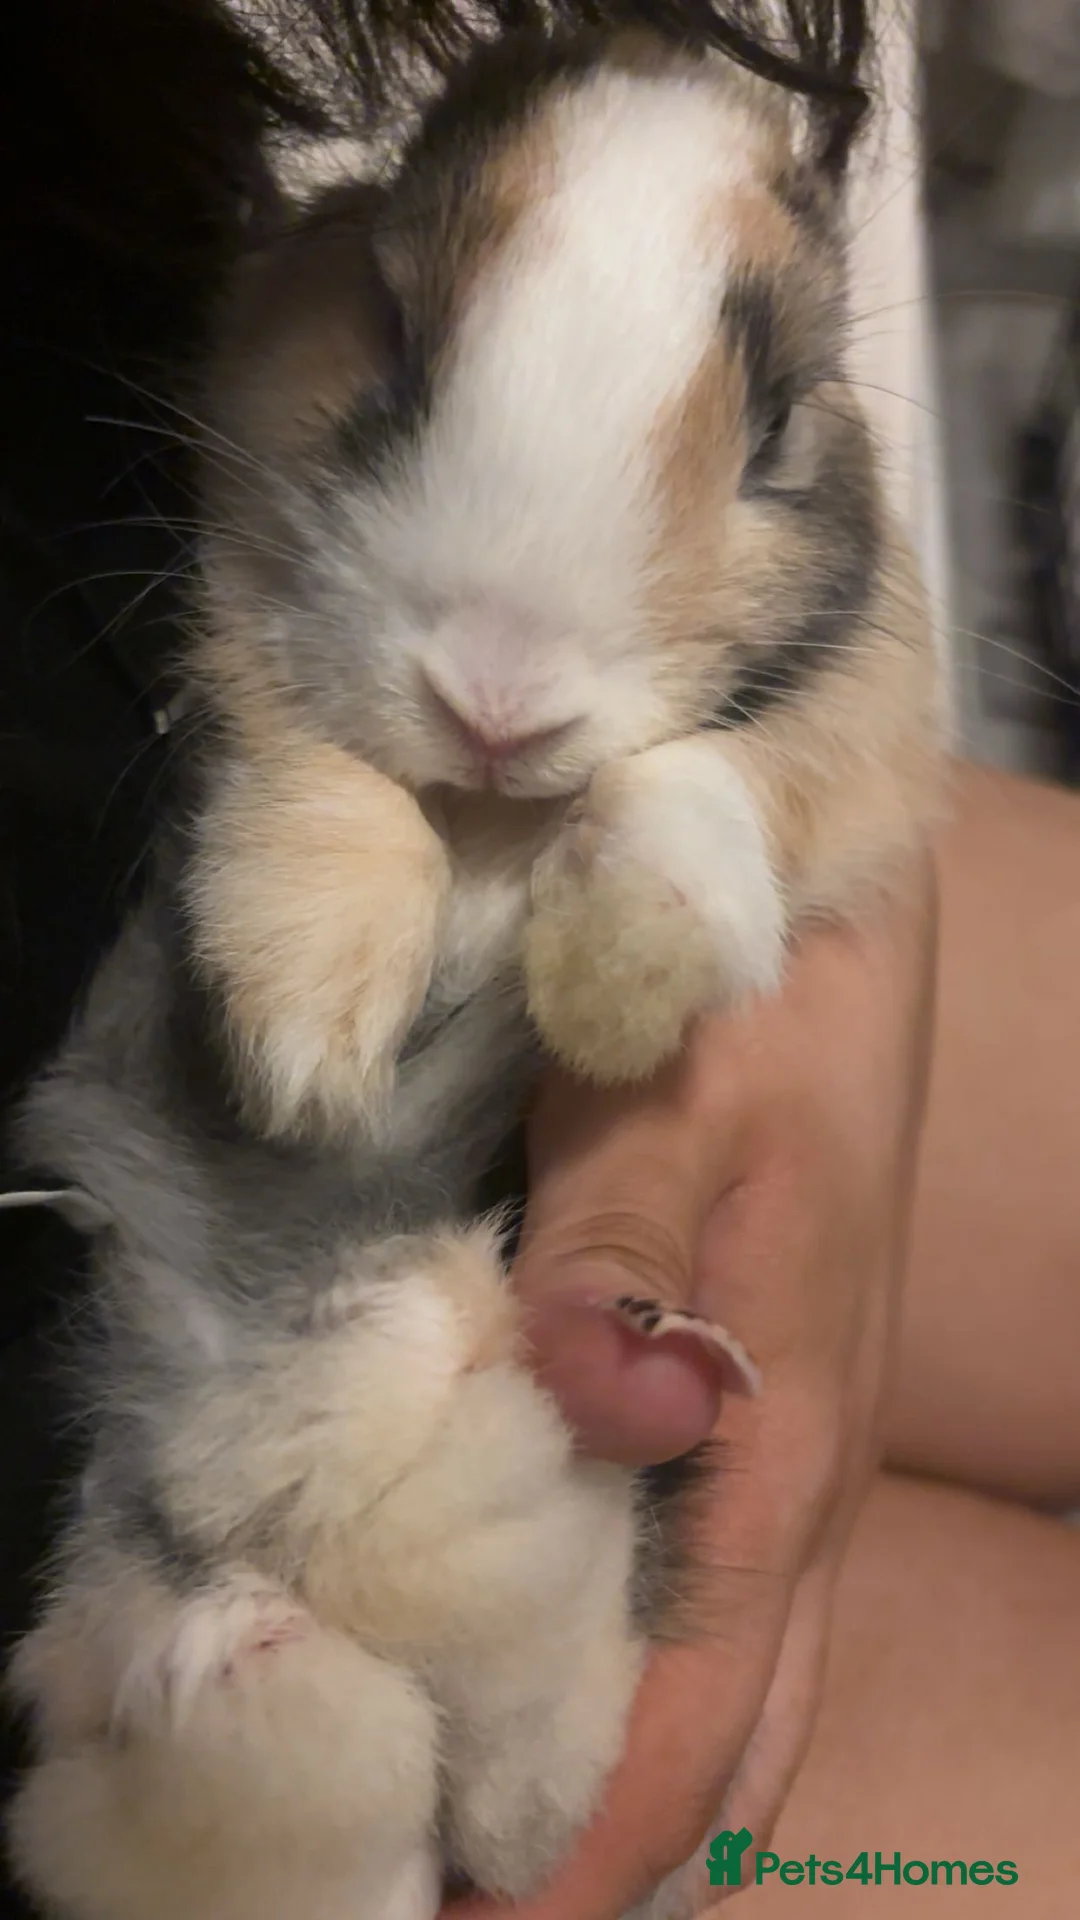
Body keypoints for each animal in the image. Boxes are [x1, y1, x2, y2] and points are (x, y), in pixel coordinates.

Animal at [5, 5, 944, 1918]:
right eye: (396, 328)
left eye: (780, 422)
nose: (498, 696)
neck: (496, 821)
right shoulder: (249, 613)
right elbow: (321, 769)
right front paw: (305, 1030)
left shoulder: (848, 726)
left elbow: (692, 785)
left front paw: (613, 984)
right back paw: (259, 1647)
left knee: (505, 1784)